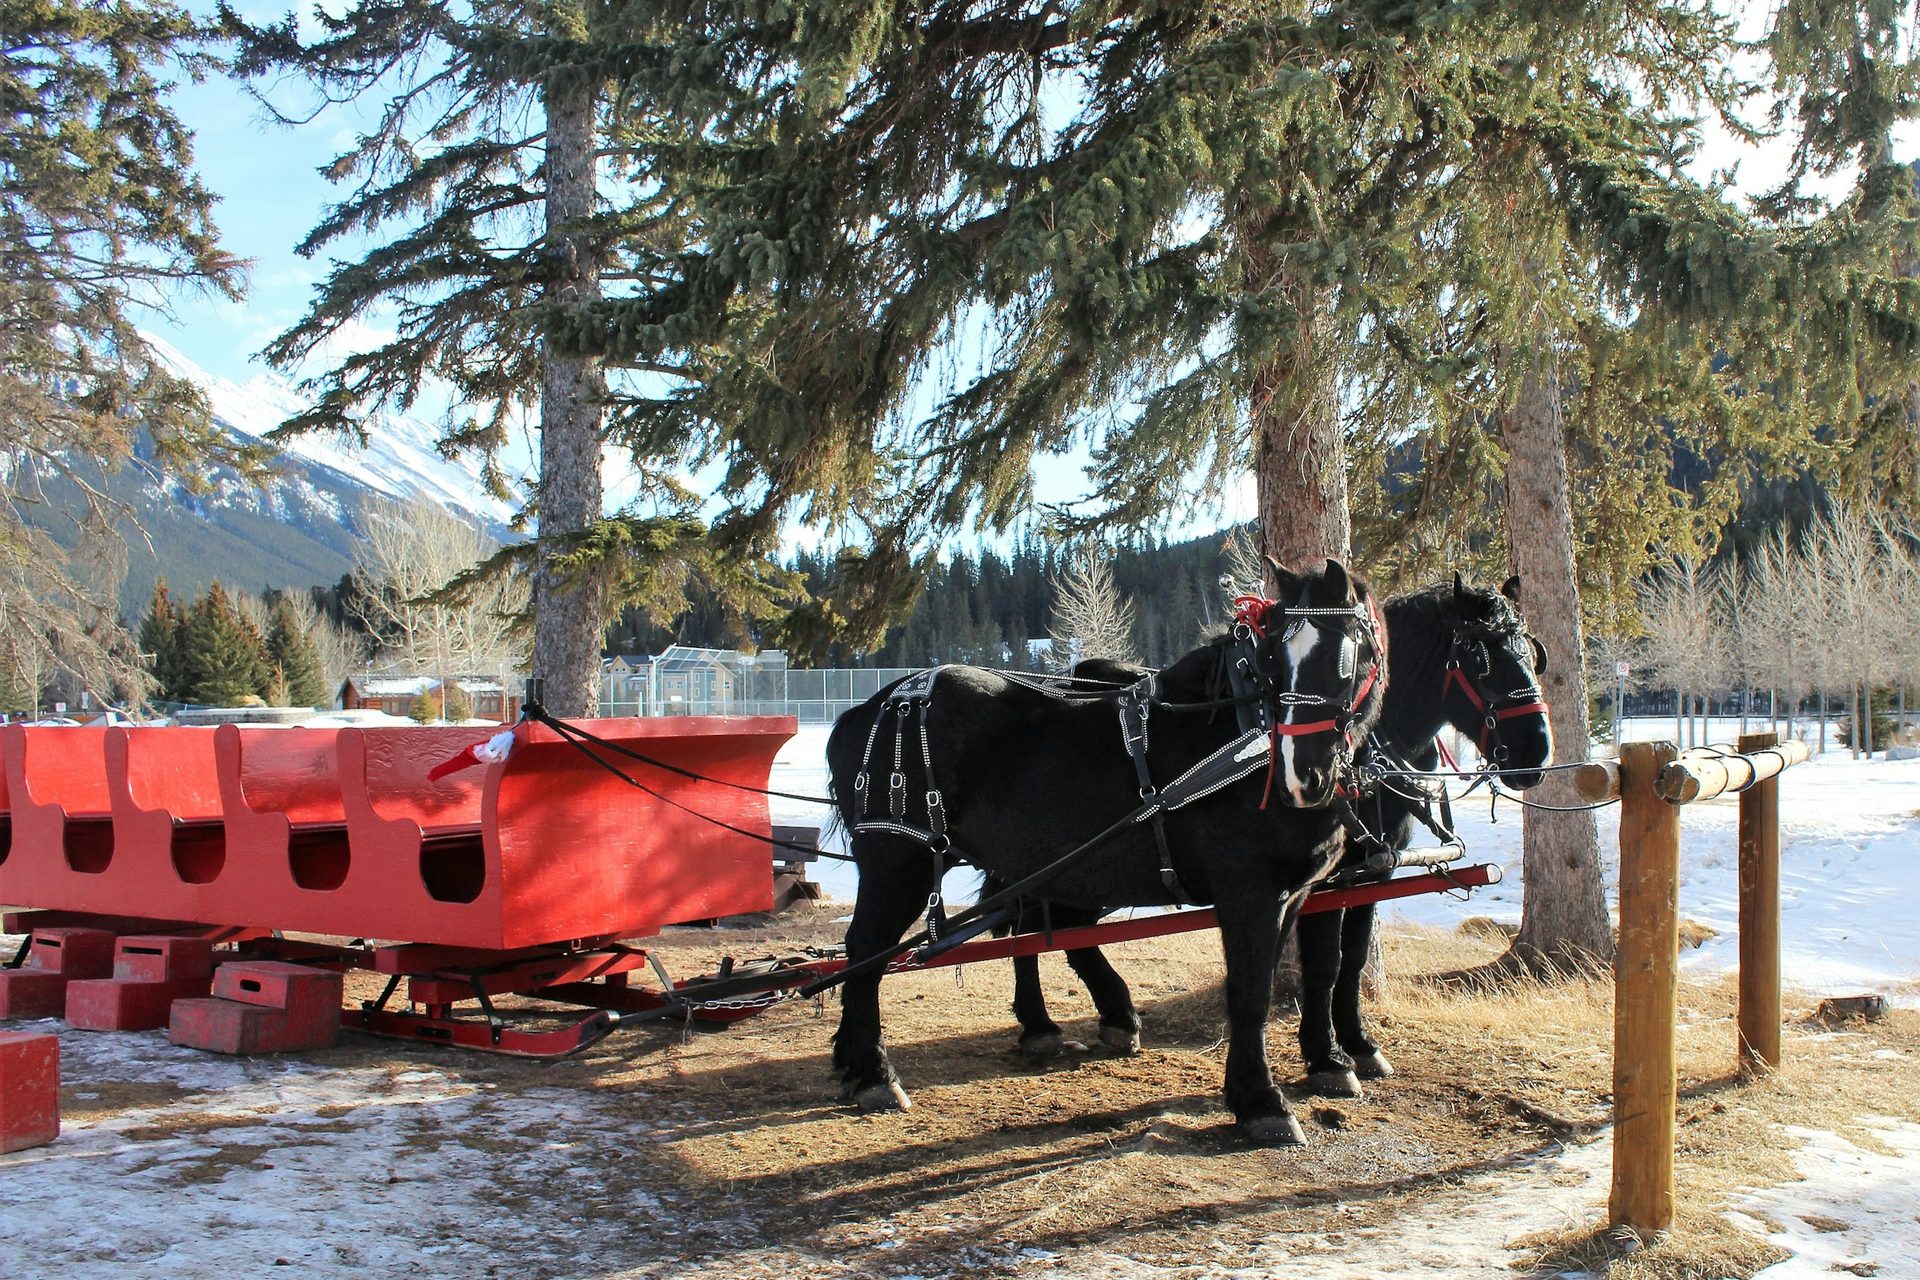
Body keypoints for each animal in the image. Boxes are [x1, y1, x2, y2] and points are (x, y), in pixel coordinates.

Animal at [825, 558, 1387, 1144]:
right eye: (1276, 657)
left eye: (1349, 653)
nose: (1305, 775)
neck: (1240, 735)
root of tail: (870, 708)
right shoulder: (1250, 894)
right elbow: (1250, 992)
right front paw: (1261, 1100)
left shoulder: (1298, 893)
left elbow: (1315, 971)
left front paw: (1323, 1064)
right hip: (899, 862)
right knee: (865, 952)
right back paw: (874, 1073)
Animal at [1001, 574, 1554, 1097]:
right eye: (1481, 658)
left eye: (1532, 653)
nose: (1537, 753)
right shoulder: (1322, 879)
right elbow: (1325, 964)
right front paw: (1326, 1056)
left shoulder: (1371, 872)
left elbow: (1352, 960)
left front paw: (1357, 1044)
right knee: (1023, 919)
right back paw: (1041, 1024)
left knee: (1055, 923)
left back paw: (1112, 1016)